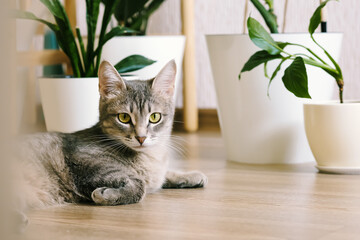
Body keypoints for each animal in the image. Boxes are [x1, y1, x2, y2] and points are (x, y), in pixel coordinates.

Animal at [16, 60, 208, 212]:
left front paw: (189, 175)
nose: (141, 137)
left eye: (155, 117)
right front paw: (107, 195)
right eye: (124, 117)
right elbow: (140, 185)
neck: (150, 158)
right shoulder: (87, 165)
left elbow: (162, 175)